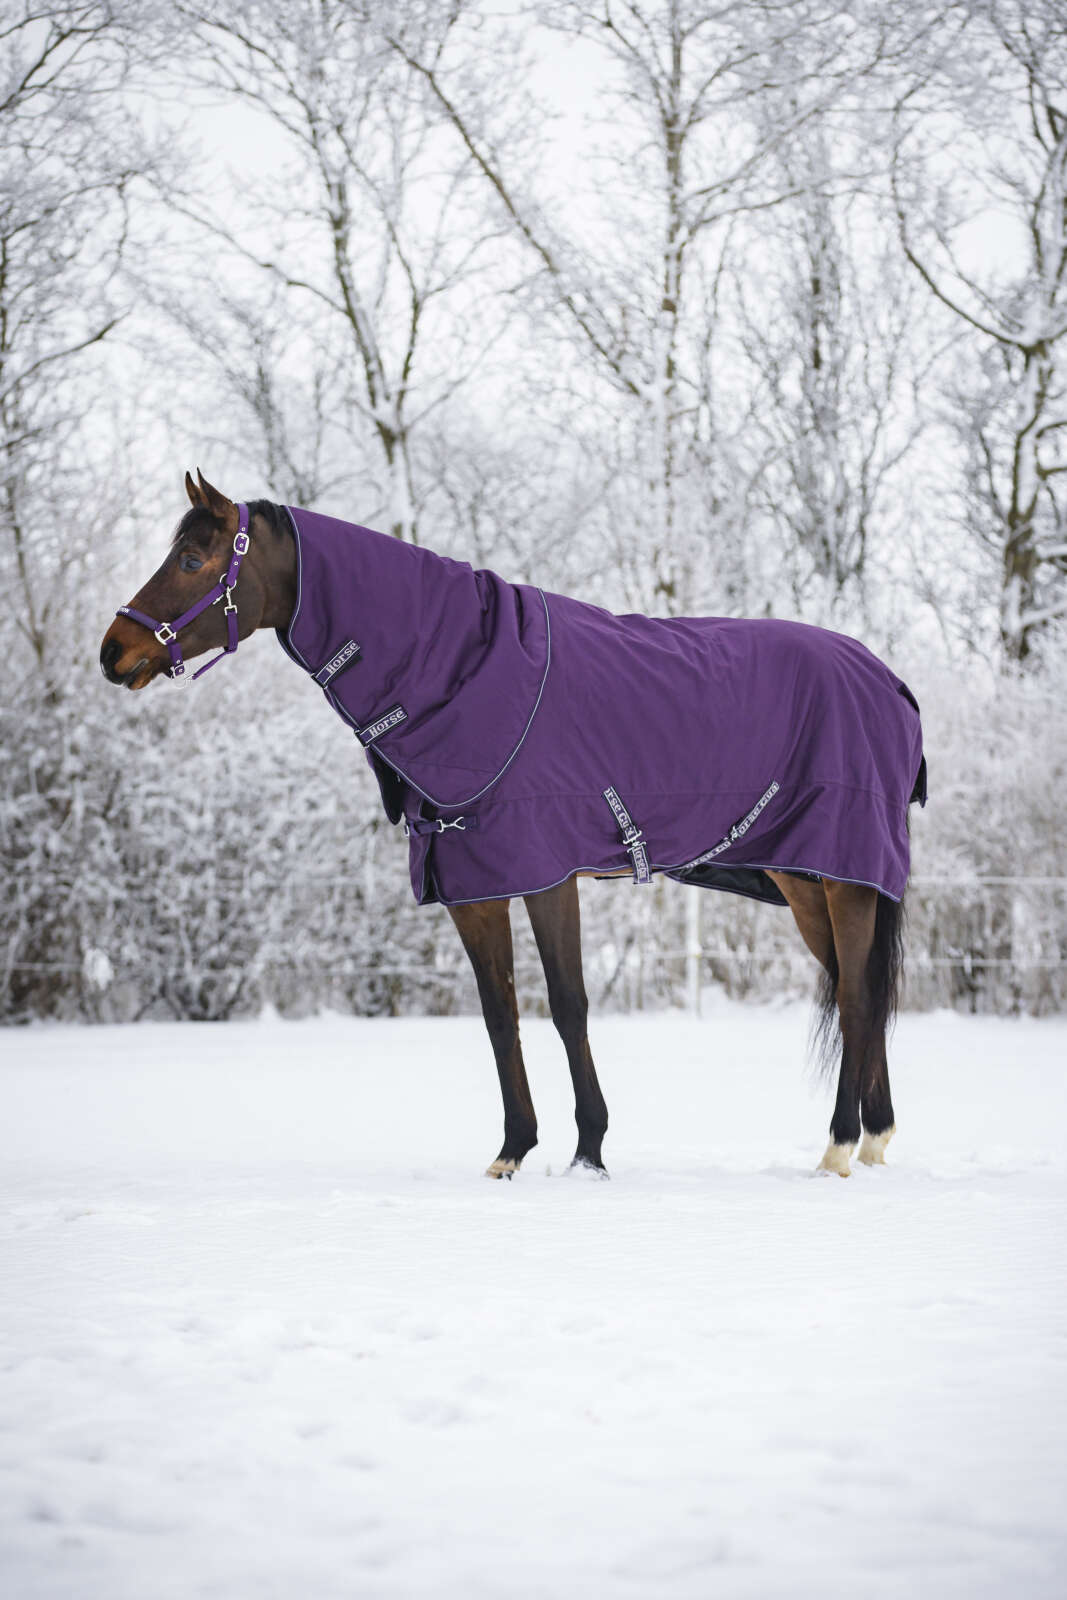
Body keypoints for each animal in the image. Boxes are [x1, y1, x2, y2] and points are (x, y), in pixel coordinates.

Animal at [100, 472, 927, 1180]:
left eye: (192, 557)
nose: (114, 651)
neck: (465, 672)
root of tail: (889, 682)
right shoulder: (474, 887)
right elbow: (500, 1013)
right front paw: (512, 1150)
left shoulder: (546, 873)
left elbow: (566, 1005)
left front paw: (588, 1150)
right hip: (805, 881)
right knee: (855, 989)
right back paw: (875, 1138)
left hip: (843, 877)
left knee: (856, 998)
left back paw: (838, 1147)